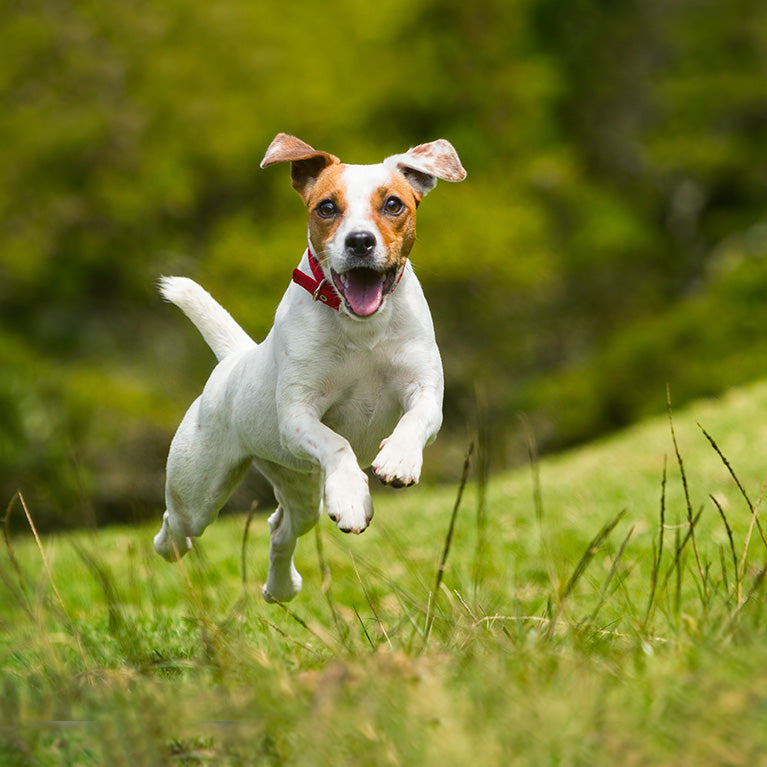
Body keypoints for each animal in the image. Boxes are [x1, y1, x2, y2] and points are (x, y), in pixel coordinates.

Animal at [154, 132, 468, 604]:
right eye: (327, 207)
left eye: (394, 204)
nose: (360, 241)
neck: (362, 328)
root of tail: (233, 359)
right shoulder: (298, 415)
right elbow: (336, 443)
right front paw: (352, 496)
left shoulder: (425, 391)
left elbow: (414, 420)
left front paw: (397, 460)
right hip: (199, 489)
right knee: (177, 525)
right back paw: (171, 546)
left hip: (297, 484)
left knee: (280, 528)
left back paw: (281, 588)